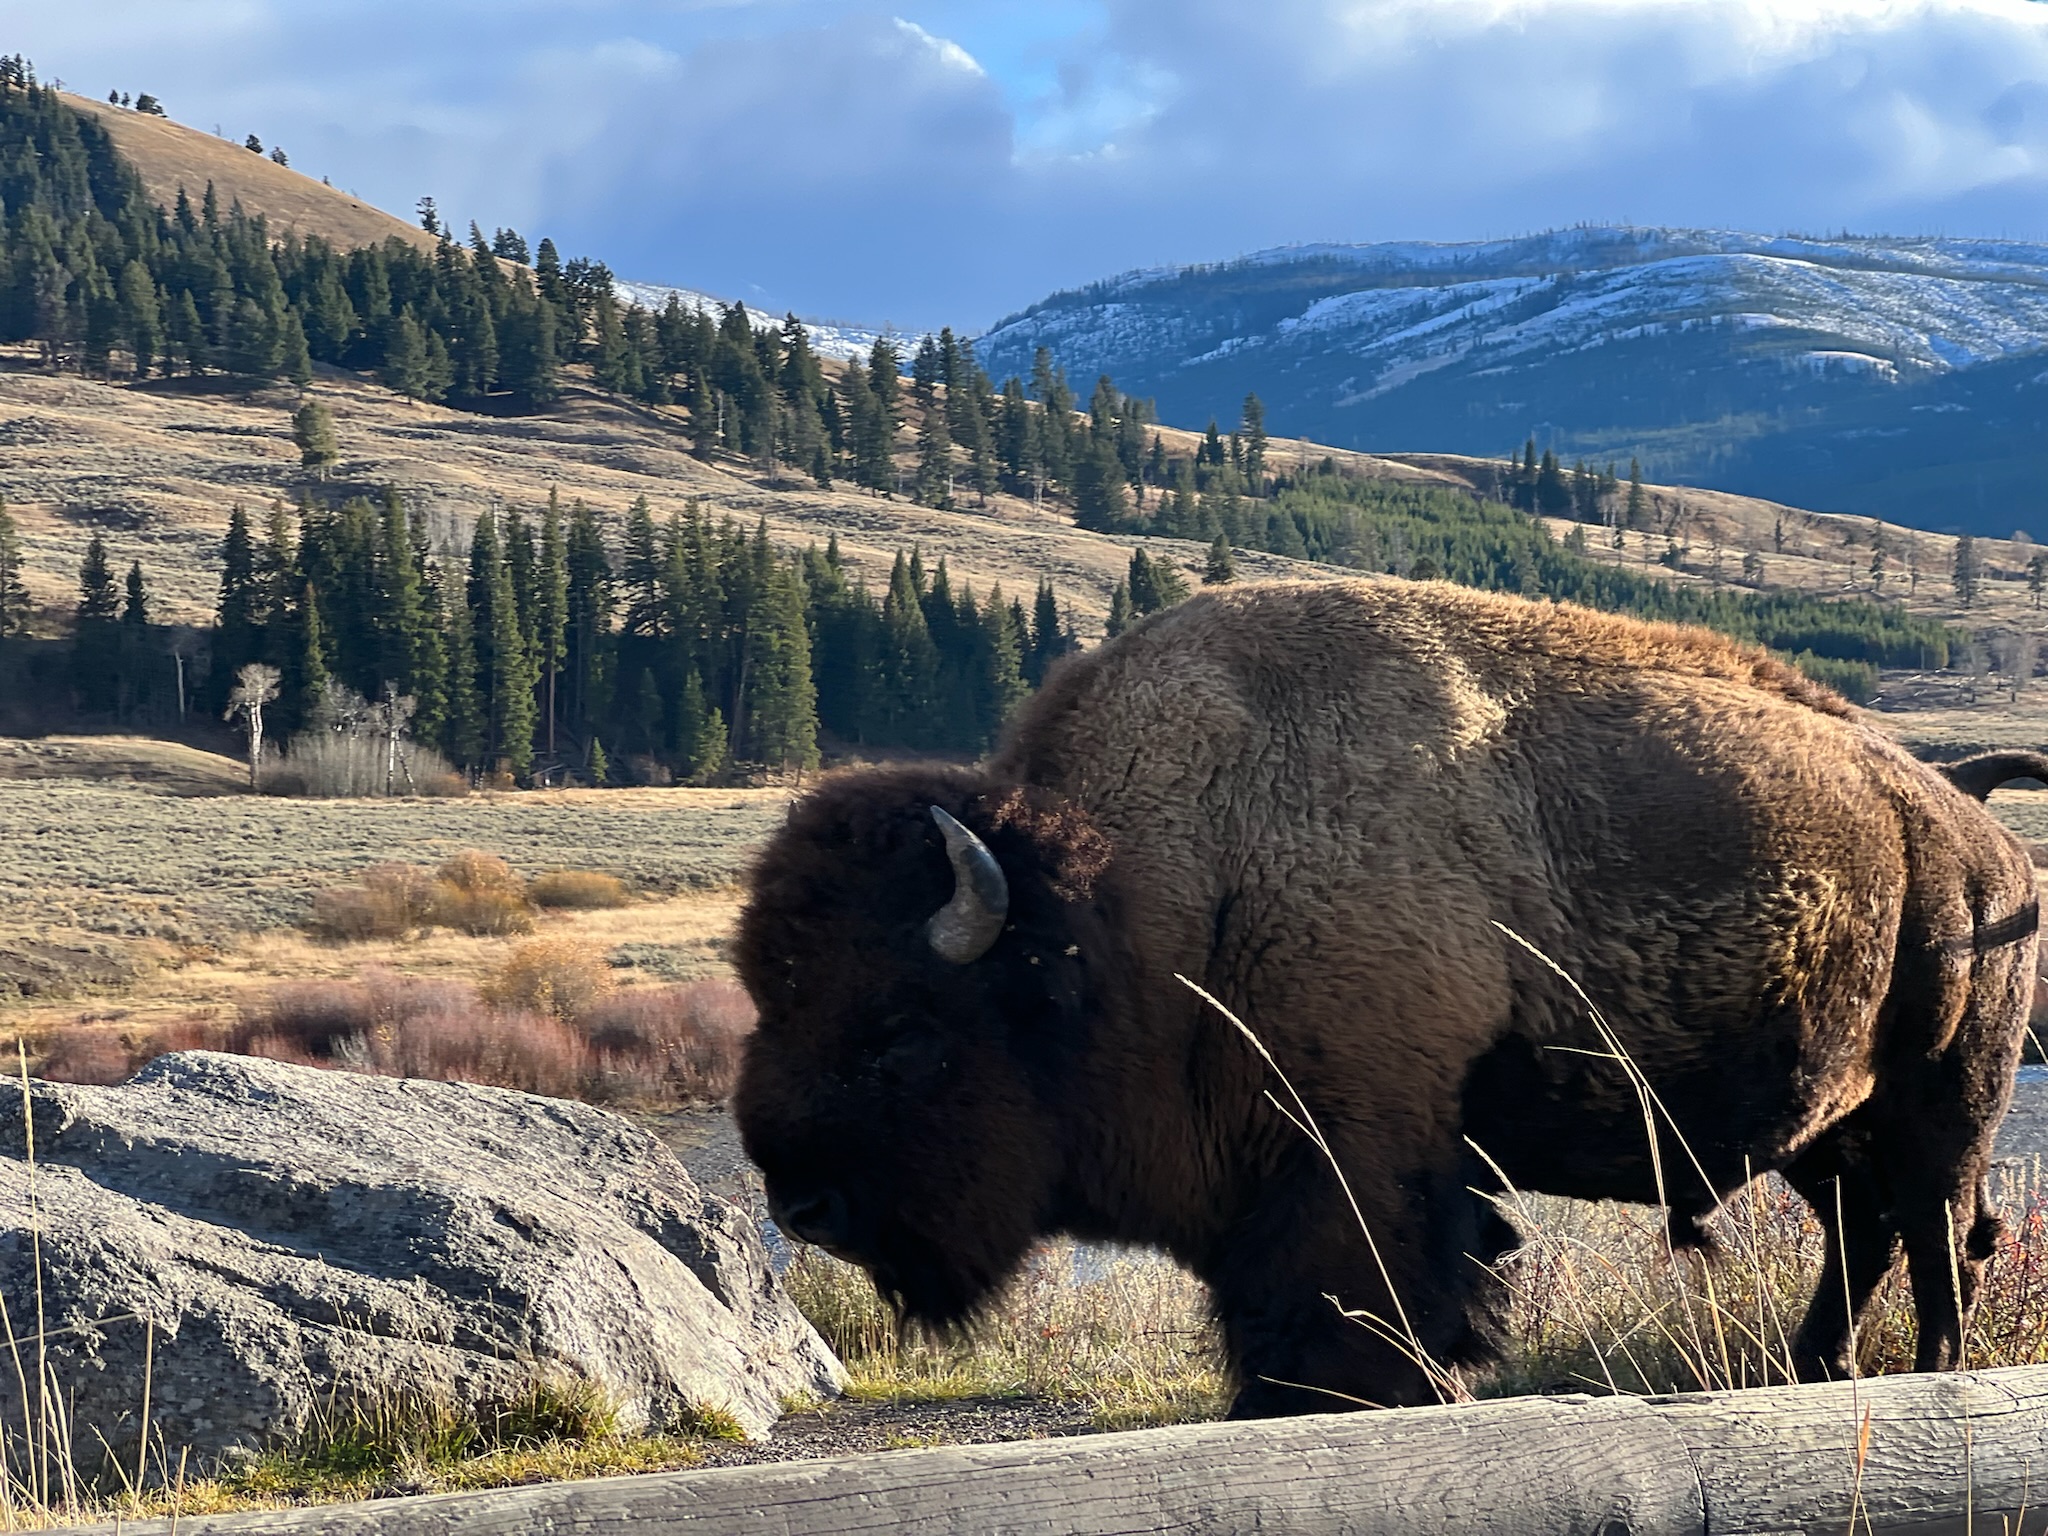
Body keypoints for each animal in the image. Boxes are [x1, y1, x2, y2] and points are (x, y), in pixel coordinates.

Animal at [733, 581, 2031, 1425]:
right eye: (766, 994)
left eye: (902, 1033)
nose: (799, 1202)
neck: (1137, 899)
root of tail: (1980, 839)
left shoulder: (1357, 1157)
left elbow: (1357, 1306)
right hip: (1824, 1126)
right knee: (1864, 1232)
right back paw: (1815, 1374)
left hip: (1943, 1101)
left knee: (1939, 1238)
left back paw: (1929, 1374)